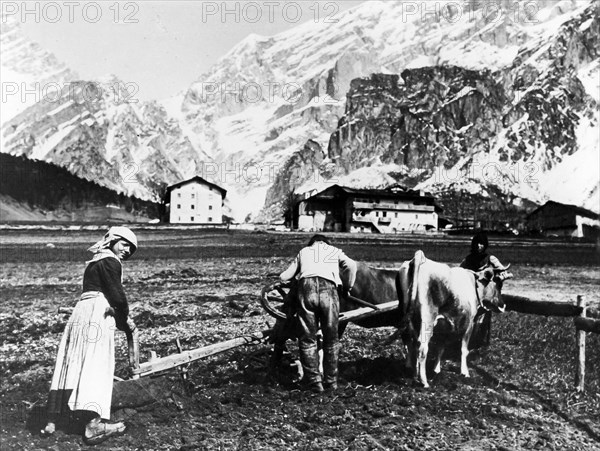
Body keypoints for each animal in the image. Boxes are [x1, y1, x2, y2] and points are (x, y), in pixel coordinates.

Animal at [398, 251, 510, 388]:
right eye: (498, 283)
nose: (503, 305)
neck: (474, 283)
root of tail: (419, 258)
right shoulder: (470, 323)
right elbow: (464, 349)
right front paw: (465, 372)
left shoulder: (443, 325)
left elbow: (441, 347)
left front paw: (436, 370)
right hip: (427, 320)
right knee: (422, 348)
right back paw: (424, 381)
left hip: (409, 319)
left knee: (410, 342)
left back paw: (413, 372)